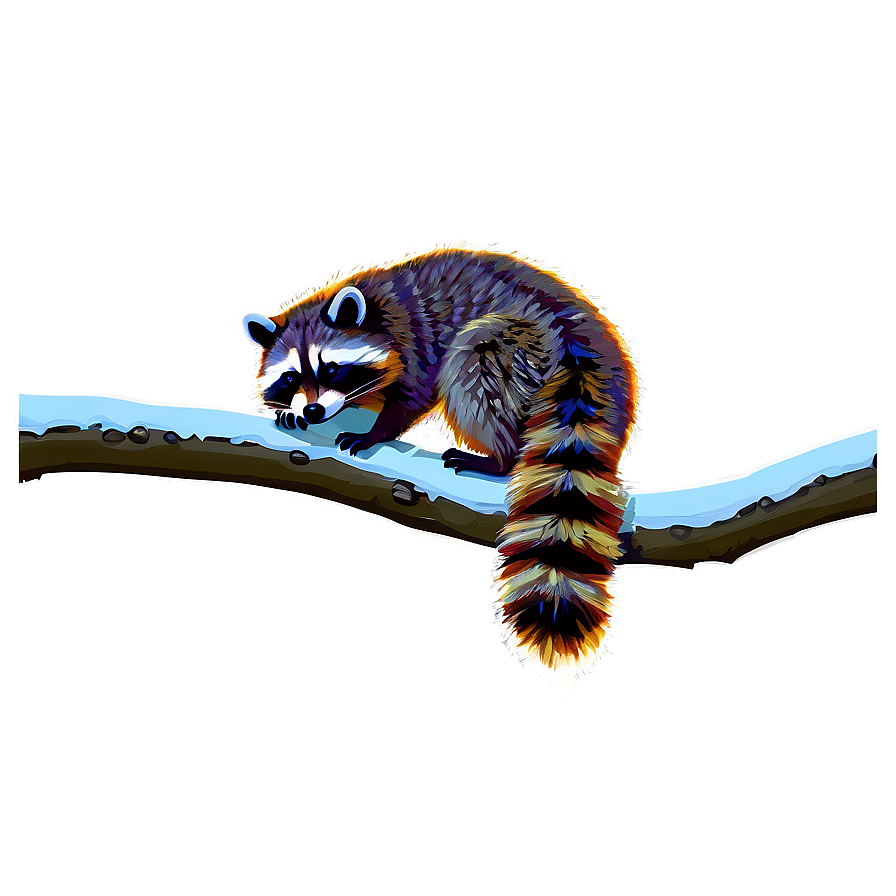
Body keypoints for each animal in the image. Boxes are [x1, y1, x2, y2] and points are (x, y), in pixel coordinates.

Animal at [242, 241, 641, 696]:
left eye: (331, 369)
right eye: (291, 378)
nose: (311, 410)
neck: (368, 305)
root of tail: (584, 348)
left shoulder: (412, 334)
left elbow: (415, 391)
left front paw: (376, 432)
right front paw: (297, 414)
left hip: (525, 344)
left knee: (477, 359)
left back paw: (499, 457)